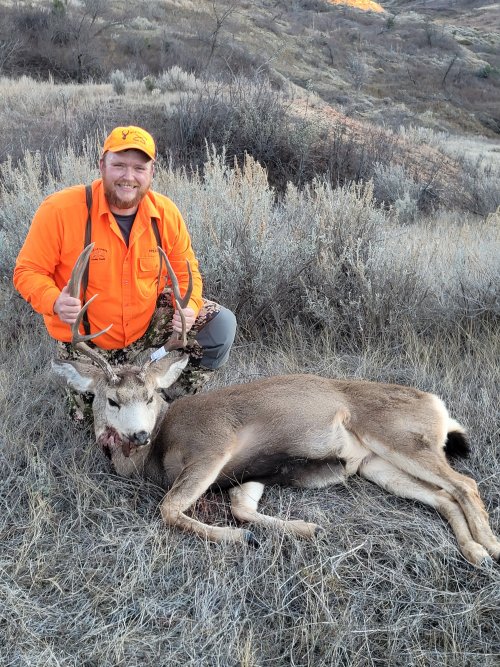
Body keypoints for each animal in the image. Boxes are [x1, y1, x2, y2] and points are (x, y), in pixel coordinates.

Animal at [52, 246, 500, 567]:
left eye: (151, 396)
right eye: (112, 399)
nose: (139, 433)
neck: (158, 446)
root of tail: (437, 404)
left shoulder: (213, 446)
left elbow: (169, 508)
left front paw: (243, 538)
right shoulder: (249, 473)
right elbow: (241, 509)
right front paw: (304, 528)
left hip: (397, 436)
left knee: (465, 484)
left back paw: (490, 546)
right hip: (377, 465)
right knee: (444, 496)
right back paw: (474, 552)